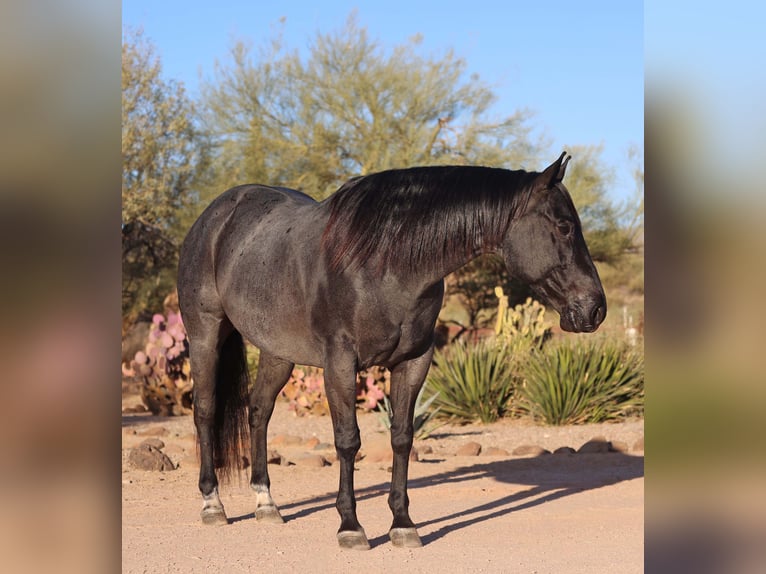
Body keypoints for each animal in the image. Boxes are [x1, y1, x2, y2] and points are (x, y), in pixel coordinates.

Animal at [178, 153, 608, 552]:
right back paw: (212, 504)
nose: (595, 310)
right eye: (565, 226)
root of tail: (214, 216)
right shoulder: (340, 364)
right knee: (206, 411)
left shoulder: (413, 362)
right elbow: (348, 441)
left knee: (258, 411)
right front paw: (350, 527)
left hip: (277, 352)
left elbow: (402, 437)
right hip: (205, 336)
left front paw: (403, 524)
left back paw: (266, 503)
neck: (384, 264)